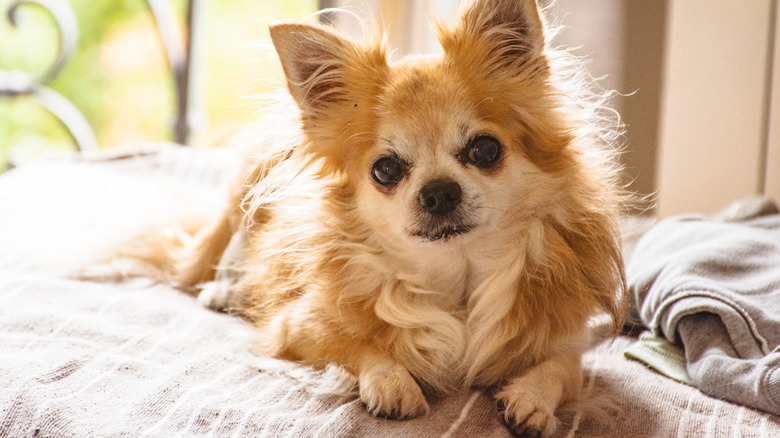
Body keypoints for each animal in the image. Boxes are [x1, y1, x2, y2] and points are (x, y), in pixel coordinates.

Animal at [145, 1, 628, 436]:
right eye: (386, 170)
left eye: (486, 149)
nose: (439, 191)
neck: (457, 278)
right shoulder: (297, 328)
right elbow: (356, 346)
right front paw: (392, 382)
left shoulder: (567, 339)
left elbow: (561, 370)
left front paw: (531, 400)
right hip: (243, 197)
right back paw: (225, 290)